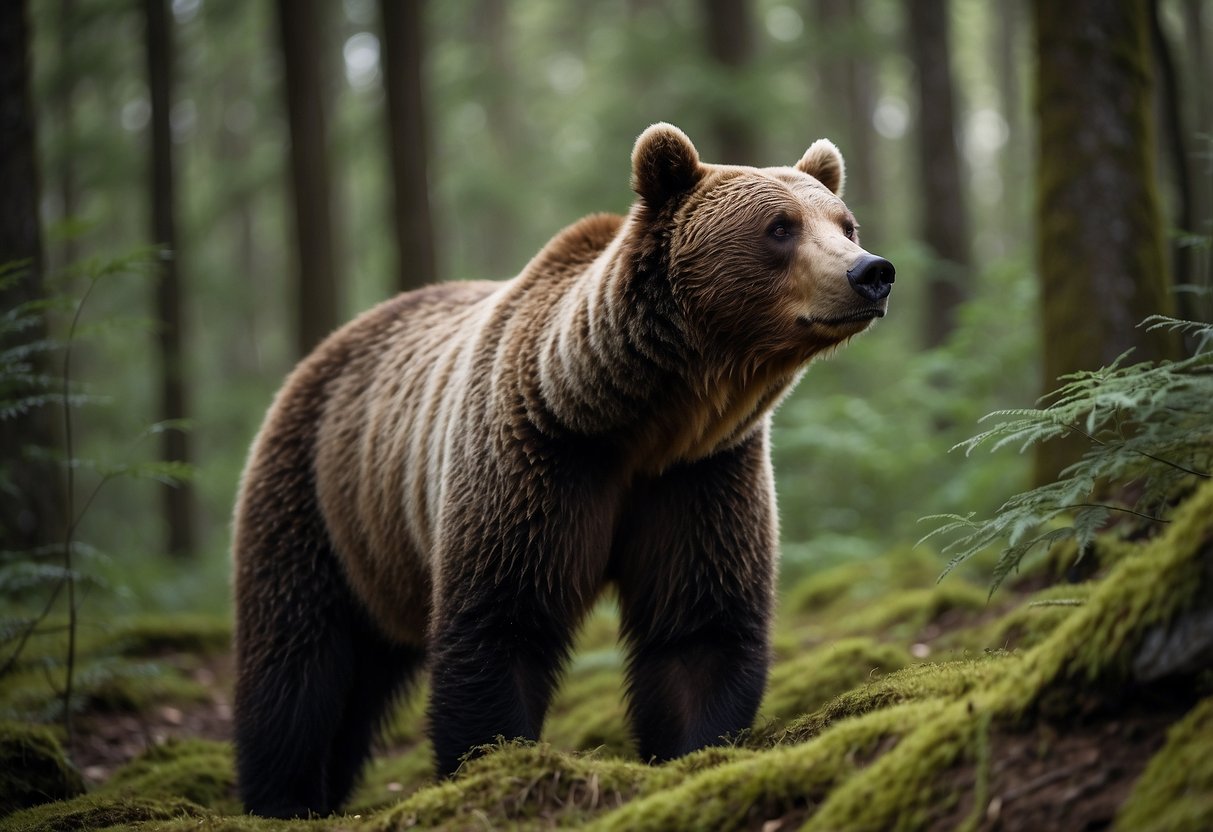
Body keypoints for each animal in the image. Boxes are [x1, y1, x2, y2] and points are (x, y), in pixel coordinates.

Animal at [231, 123, 897, 819]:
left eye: (844, 223)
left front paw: (695, 752)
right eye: (780, 227)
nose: (871, 271)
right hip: (314, 496)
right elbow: (502, 622)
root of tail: (327, 346)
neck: (643, 418)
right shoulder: (539, 459)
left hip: (377, 546)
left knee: (362, 677)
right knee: (298, 660)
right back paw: (284, 795)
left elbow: (699, 627)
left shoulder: (700, 474)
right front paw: (493, 764)